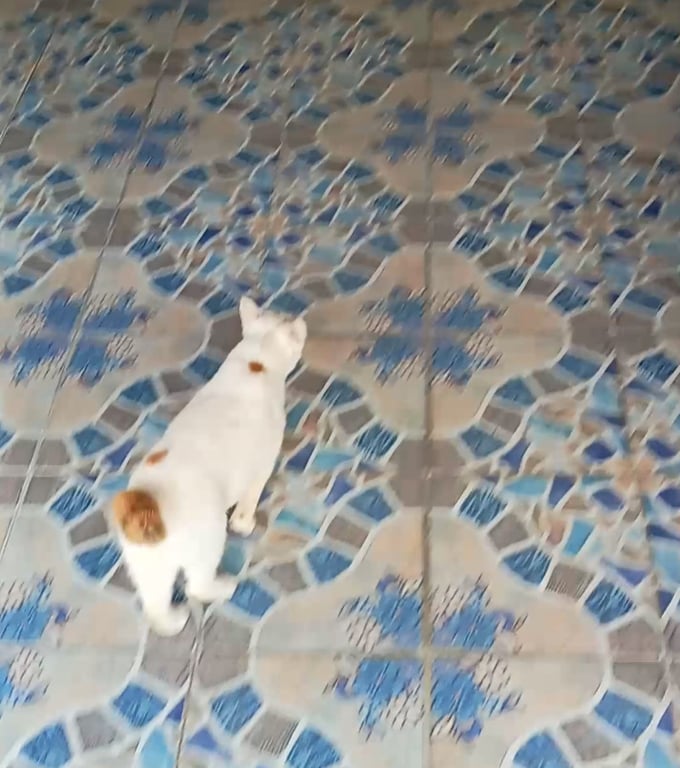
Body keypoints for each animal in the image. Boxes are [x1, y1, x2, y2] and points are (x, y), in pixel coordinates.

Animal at [111, 296, 306, 635]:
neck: (255, 362)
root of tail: (146, 504)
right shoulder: (260, 466)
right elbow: (248, 503)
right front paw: (245, 523)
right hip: (208, 541)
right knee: (197, 586)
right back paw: (223, 587)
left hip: (148, 568)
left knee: (156, 605)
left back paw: (174, 620)